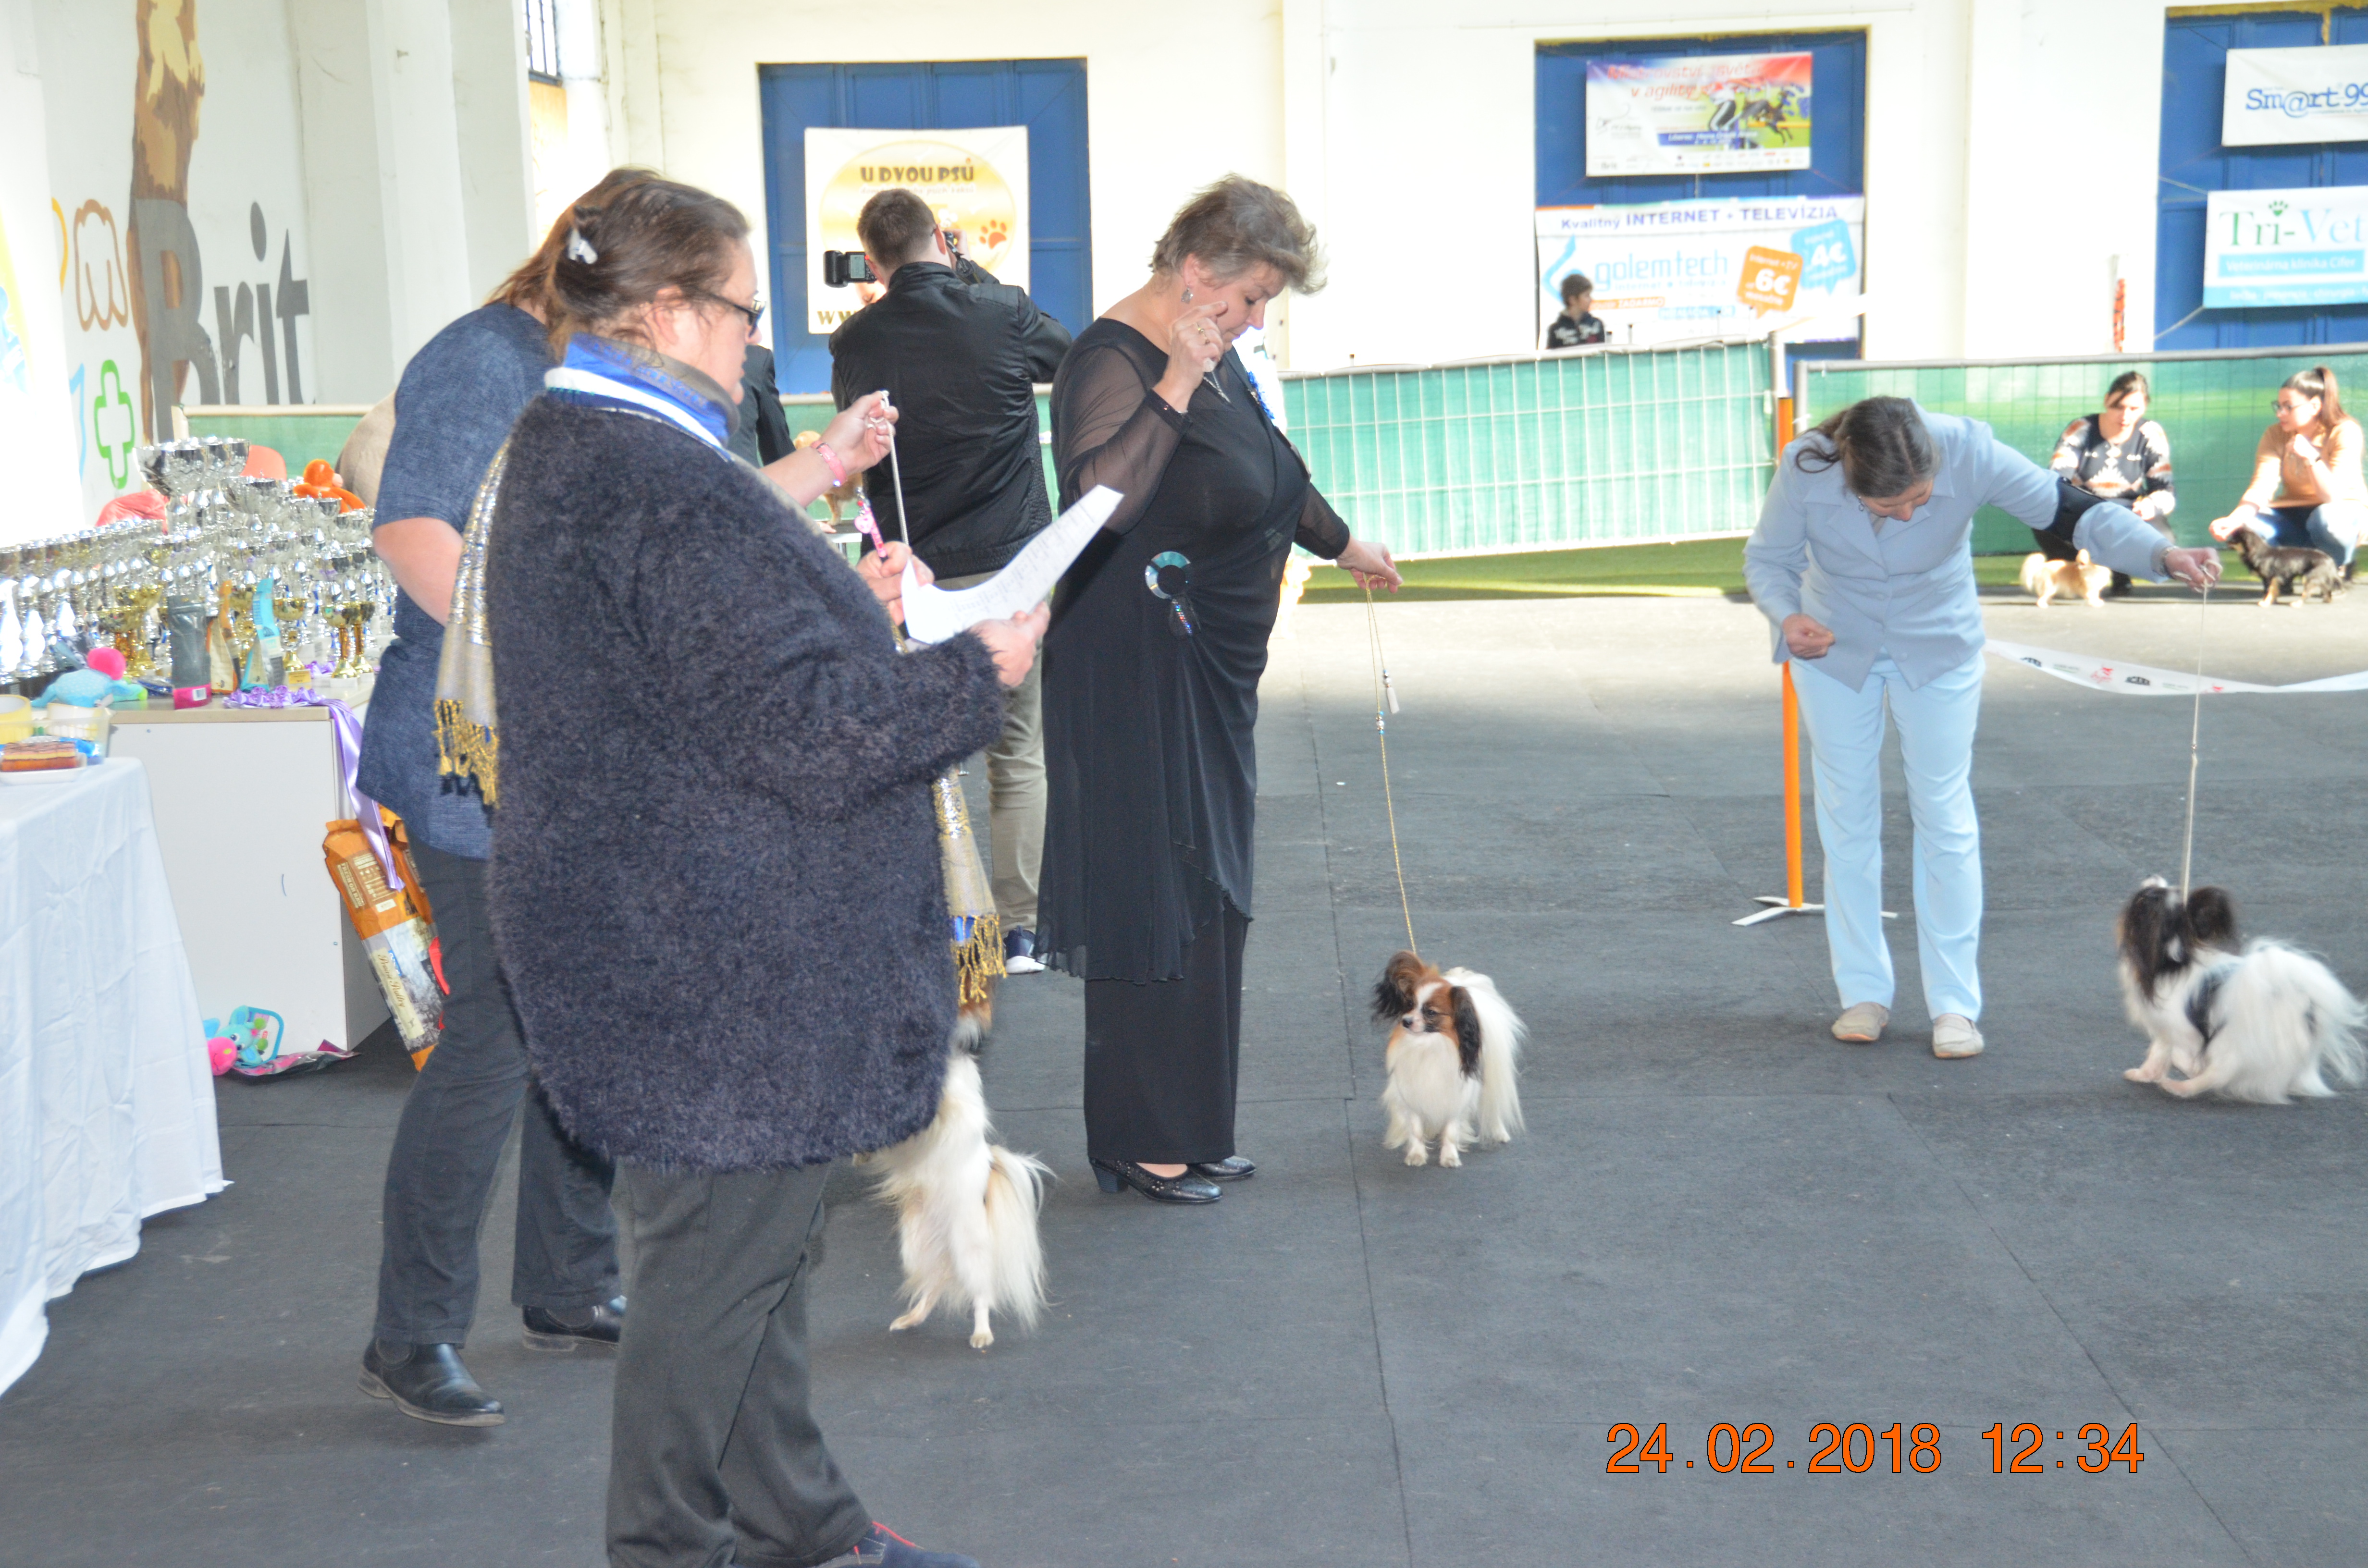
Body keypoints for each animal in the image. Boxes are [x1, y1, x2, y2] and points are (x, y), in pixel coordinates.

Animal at [858, 1004, 1051, 1349]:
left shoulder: (950, 1113)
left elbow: (937, 1113)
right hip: (916, 1247)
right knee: (933, 1287)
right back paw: (910, 1320)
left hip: (969, 1250)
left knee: (981, 1295)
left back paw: (981, 1334)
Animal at [1372, 951, 1525, 1166]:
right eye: (1410, 1004)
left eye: (1431, 1012)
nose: (1406, 1022)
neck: (1429, 1043)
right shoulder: (1412, 1094)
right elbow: (1416, 1128)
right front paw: (1417, 1155)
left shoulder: (1457, 1097)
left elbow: (1451, 1130)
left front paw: (1450, 1157)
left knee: (1493, 1107)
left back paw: (1499, 1133)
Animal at [2019, 549, 2110, 608]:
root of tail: (2041, 568)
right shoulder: (2088, 589)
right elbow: (2091, 596)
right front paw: (2095, 603)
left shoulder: (2094, 589)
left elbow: (2095, 595)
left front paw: (2097, 601)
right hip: (2050, 588)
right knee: (2041, 599)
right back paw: (2043, 605)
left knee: (2046, 597)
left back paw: (2051, 603)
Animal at [2116, 878, 2365, 1103]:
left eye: (2147, 897)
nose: (2154, 877)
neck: (2175, 957)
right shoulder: (2167, 1028)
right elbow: (2159, 1053)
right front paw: (2145, 1074)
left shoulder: (2181, 1027)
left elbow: (2175, 1053)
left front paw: (2186, 1070)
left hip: (2233, 1042)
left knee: (2220, 1072)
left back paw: (2183, 1087)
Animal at [2224, 526, 2343, 607]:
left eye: (2234, 539)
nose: (2226, 541)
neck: (2258, 553)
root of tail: (2329, 559)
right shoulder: (2276, 578)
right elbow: (2274, 591)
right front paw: (2273, 601)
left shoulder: (2269, 578)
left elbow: (2268, 591)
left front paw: (2266, 602)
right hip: (2319, 578)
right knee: (2327, 589)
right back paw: (2327, 600)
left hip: (2309, 577)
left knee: (2307, 593)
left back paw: (2297, 604)